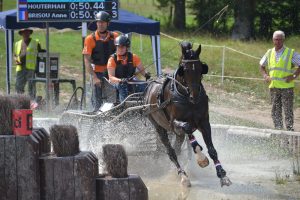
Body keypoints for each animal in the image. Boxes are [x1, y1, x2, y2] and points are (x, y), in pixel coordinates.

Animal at [145, 41, 232, 187]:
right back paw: (183, 175)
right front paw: (201, 158)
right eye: (184, 70)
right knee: (172, 151)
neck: (187, 99)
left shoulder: (204, 122)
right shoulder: (174, 123)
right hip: (159, 126)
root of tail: (149, 86)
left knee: (178, 146)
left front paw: (222, 174)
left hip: (175, 132)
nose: (195, 95)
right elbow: (187, 128)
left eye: (200, 68)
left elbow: (212, 149)